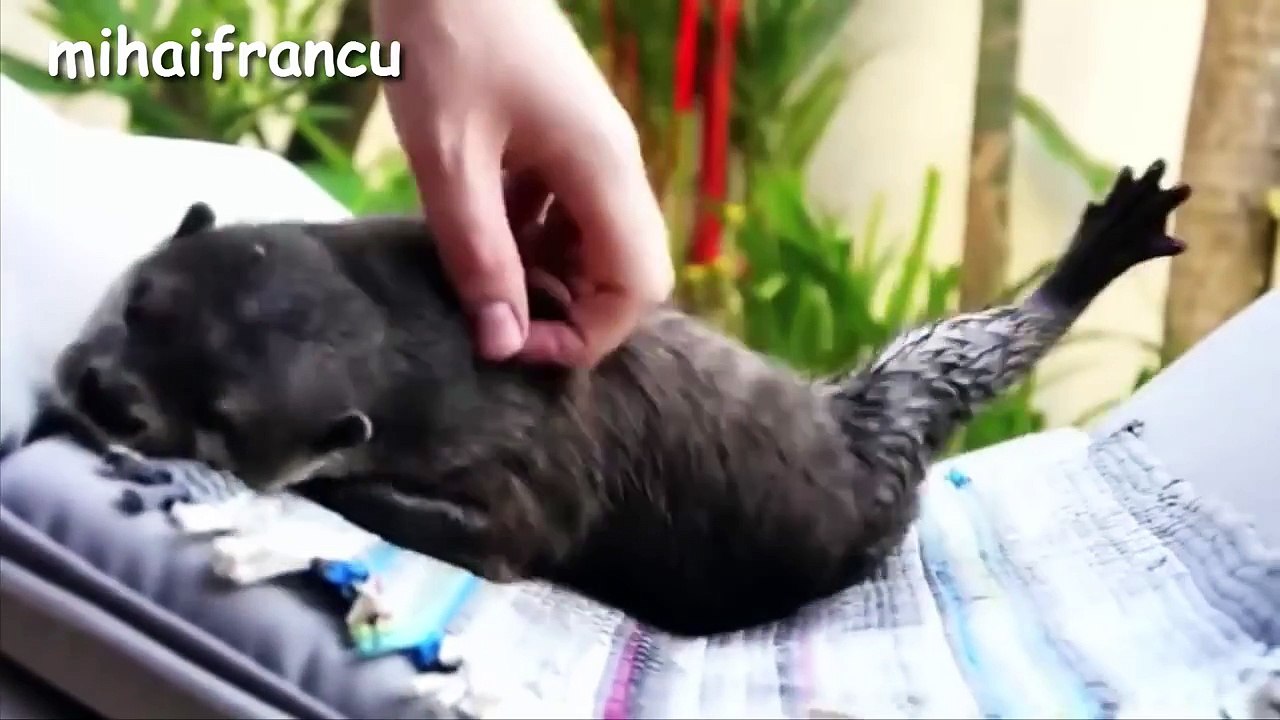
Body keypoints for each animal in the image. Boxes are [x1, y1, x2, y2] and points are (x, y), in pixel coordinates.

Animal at [32, 161, 1190, 636]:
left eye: (220, 421)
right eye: (144, 300)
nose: (104, 390)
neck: (424, 347)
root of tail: (846, 418)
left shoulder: (514, 481)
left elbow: (495, 541)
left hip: (893, 438)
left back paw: (1101, 251)